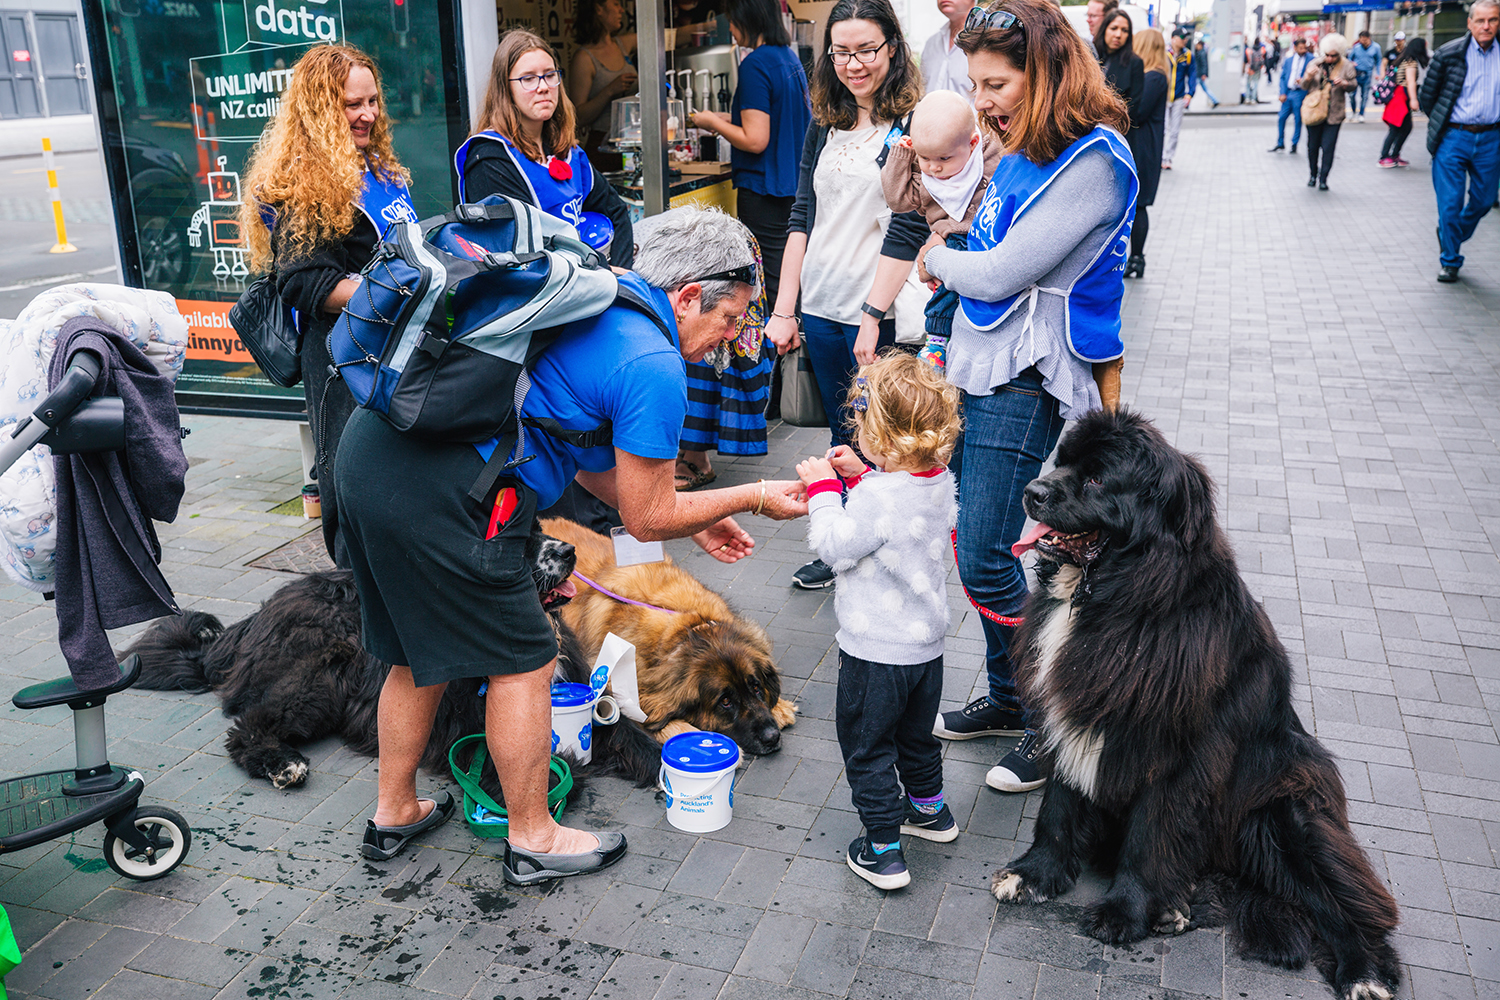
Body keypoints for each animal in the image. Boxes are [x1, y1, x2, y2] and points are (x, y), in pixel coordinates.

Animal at [126, 524, 666, 797]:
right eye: (516, 547)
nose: (570, 550)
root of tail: (252, 622)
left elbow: (626, 732)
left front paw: (659, 764)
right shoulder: (462, 727)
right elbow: (525, 763)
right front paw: (560, 774)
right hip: (317, 679)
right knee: (248, 728)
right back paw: (284, 764)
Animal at [1002, 407, 1398, 1000]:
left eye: (1096, 480)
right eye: (1062, 460)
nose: (1031, 491)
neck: (1122, 599)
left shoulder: (1173, 751)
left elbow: (1148, 836)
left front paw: (1123, 913)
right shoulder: (1073, 717)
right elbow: (1058, 808)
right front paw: (1035, 874)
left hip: (1284, 815)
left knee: (1349, 902)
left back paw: (1362, 972)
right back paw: (1178, 904)